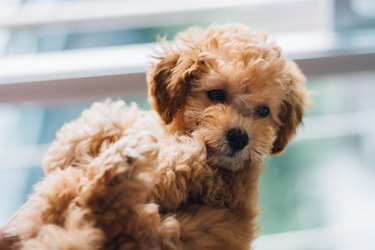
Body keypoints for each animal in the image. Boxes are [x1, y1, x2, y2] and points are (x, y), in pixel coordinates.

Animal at [0, 23, 306, 250]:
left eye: (264, 111)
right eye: (216, 94)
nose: (240, 138)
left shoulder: (214, 182)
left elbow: (178, 163)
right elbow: (123, 119)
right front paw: (68, 146)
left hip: (146, 232)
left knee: (95, 205)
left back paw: (118, 168)